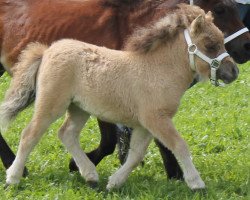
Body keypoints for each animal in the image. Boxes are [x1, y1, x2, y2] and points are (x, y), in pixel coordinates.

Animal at [0, 0, 249, 179]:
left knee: (66, 134)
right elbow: (176, 144)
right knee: (30, 134)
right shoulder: (155, 119)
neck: (158, 69)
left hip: (79, 108)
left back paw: (89, 175)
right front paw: (193, 181)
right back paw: (14, 175)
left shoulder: (146, 123)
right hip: (52, 104)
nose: (234, 71)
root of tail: (47, 50)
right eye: (210, 45)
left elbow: (136, 153)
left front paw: (116, 181)